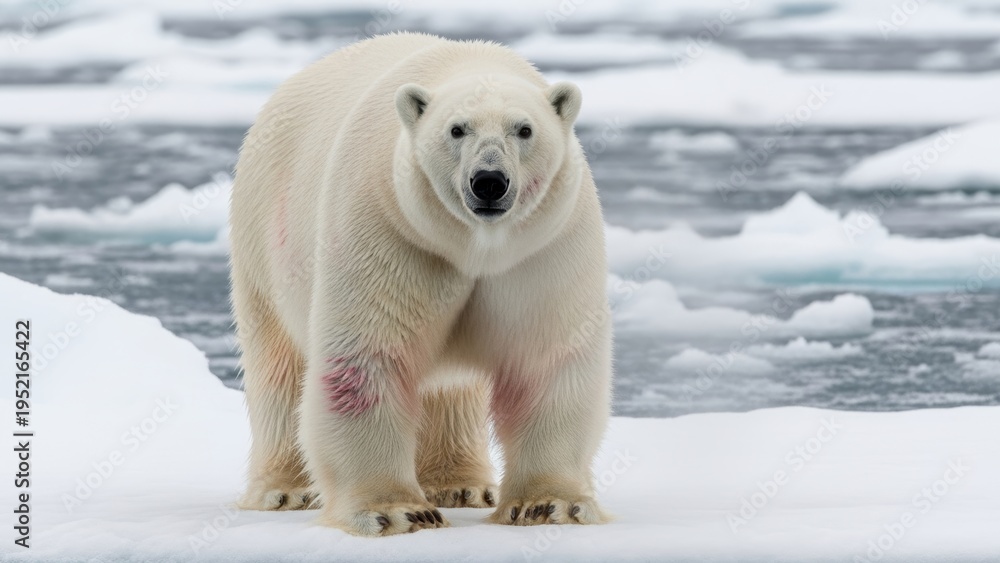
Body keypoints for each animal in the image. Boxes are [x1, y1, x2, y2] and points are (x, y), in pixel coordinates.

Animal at [229, 32, 612, 536]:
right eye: (457, 129)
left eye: (524, 129)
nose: (489, 181)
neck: (475, 245)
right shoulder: (393, 230)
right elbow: (368, 359)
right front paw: (398, 511)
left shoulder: (543, 248)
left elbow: (546, 359)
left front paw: (550, 504)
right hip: (264, 232)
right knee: (278, 364)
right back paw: (286, 490)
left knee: (450, 392)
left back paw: (460, 486)